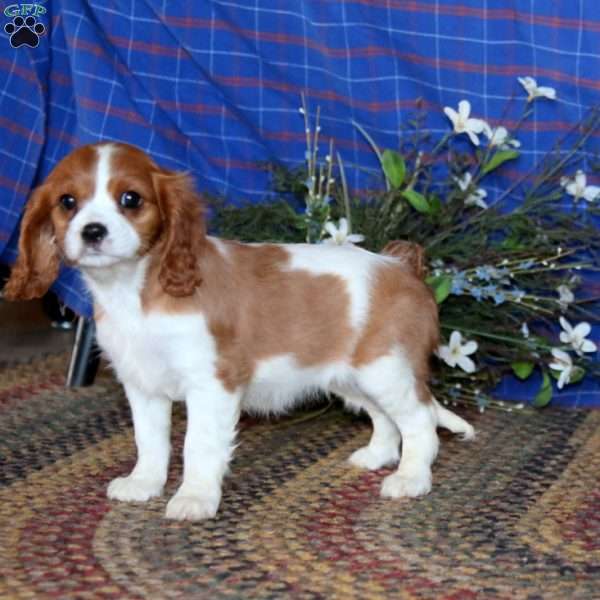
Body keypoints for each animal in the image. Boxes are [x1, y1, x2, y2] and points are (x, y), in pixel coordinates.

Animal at [4, 142, 474, 520]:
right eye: (67, 202)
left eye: (130, 199)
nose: (93, 231)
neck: (136, 287)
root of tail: (402, 266)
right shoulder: (143, 385)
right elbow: (149, 440)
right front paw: (145, 484)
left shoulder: (212, 384)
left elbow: (197, 444)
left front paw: (193, 498)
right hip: (352, 377)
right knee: (386, 418)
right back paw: (377, 456)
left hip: (385, 370)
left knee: (419, 422)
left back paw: (411, 478)